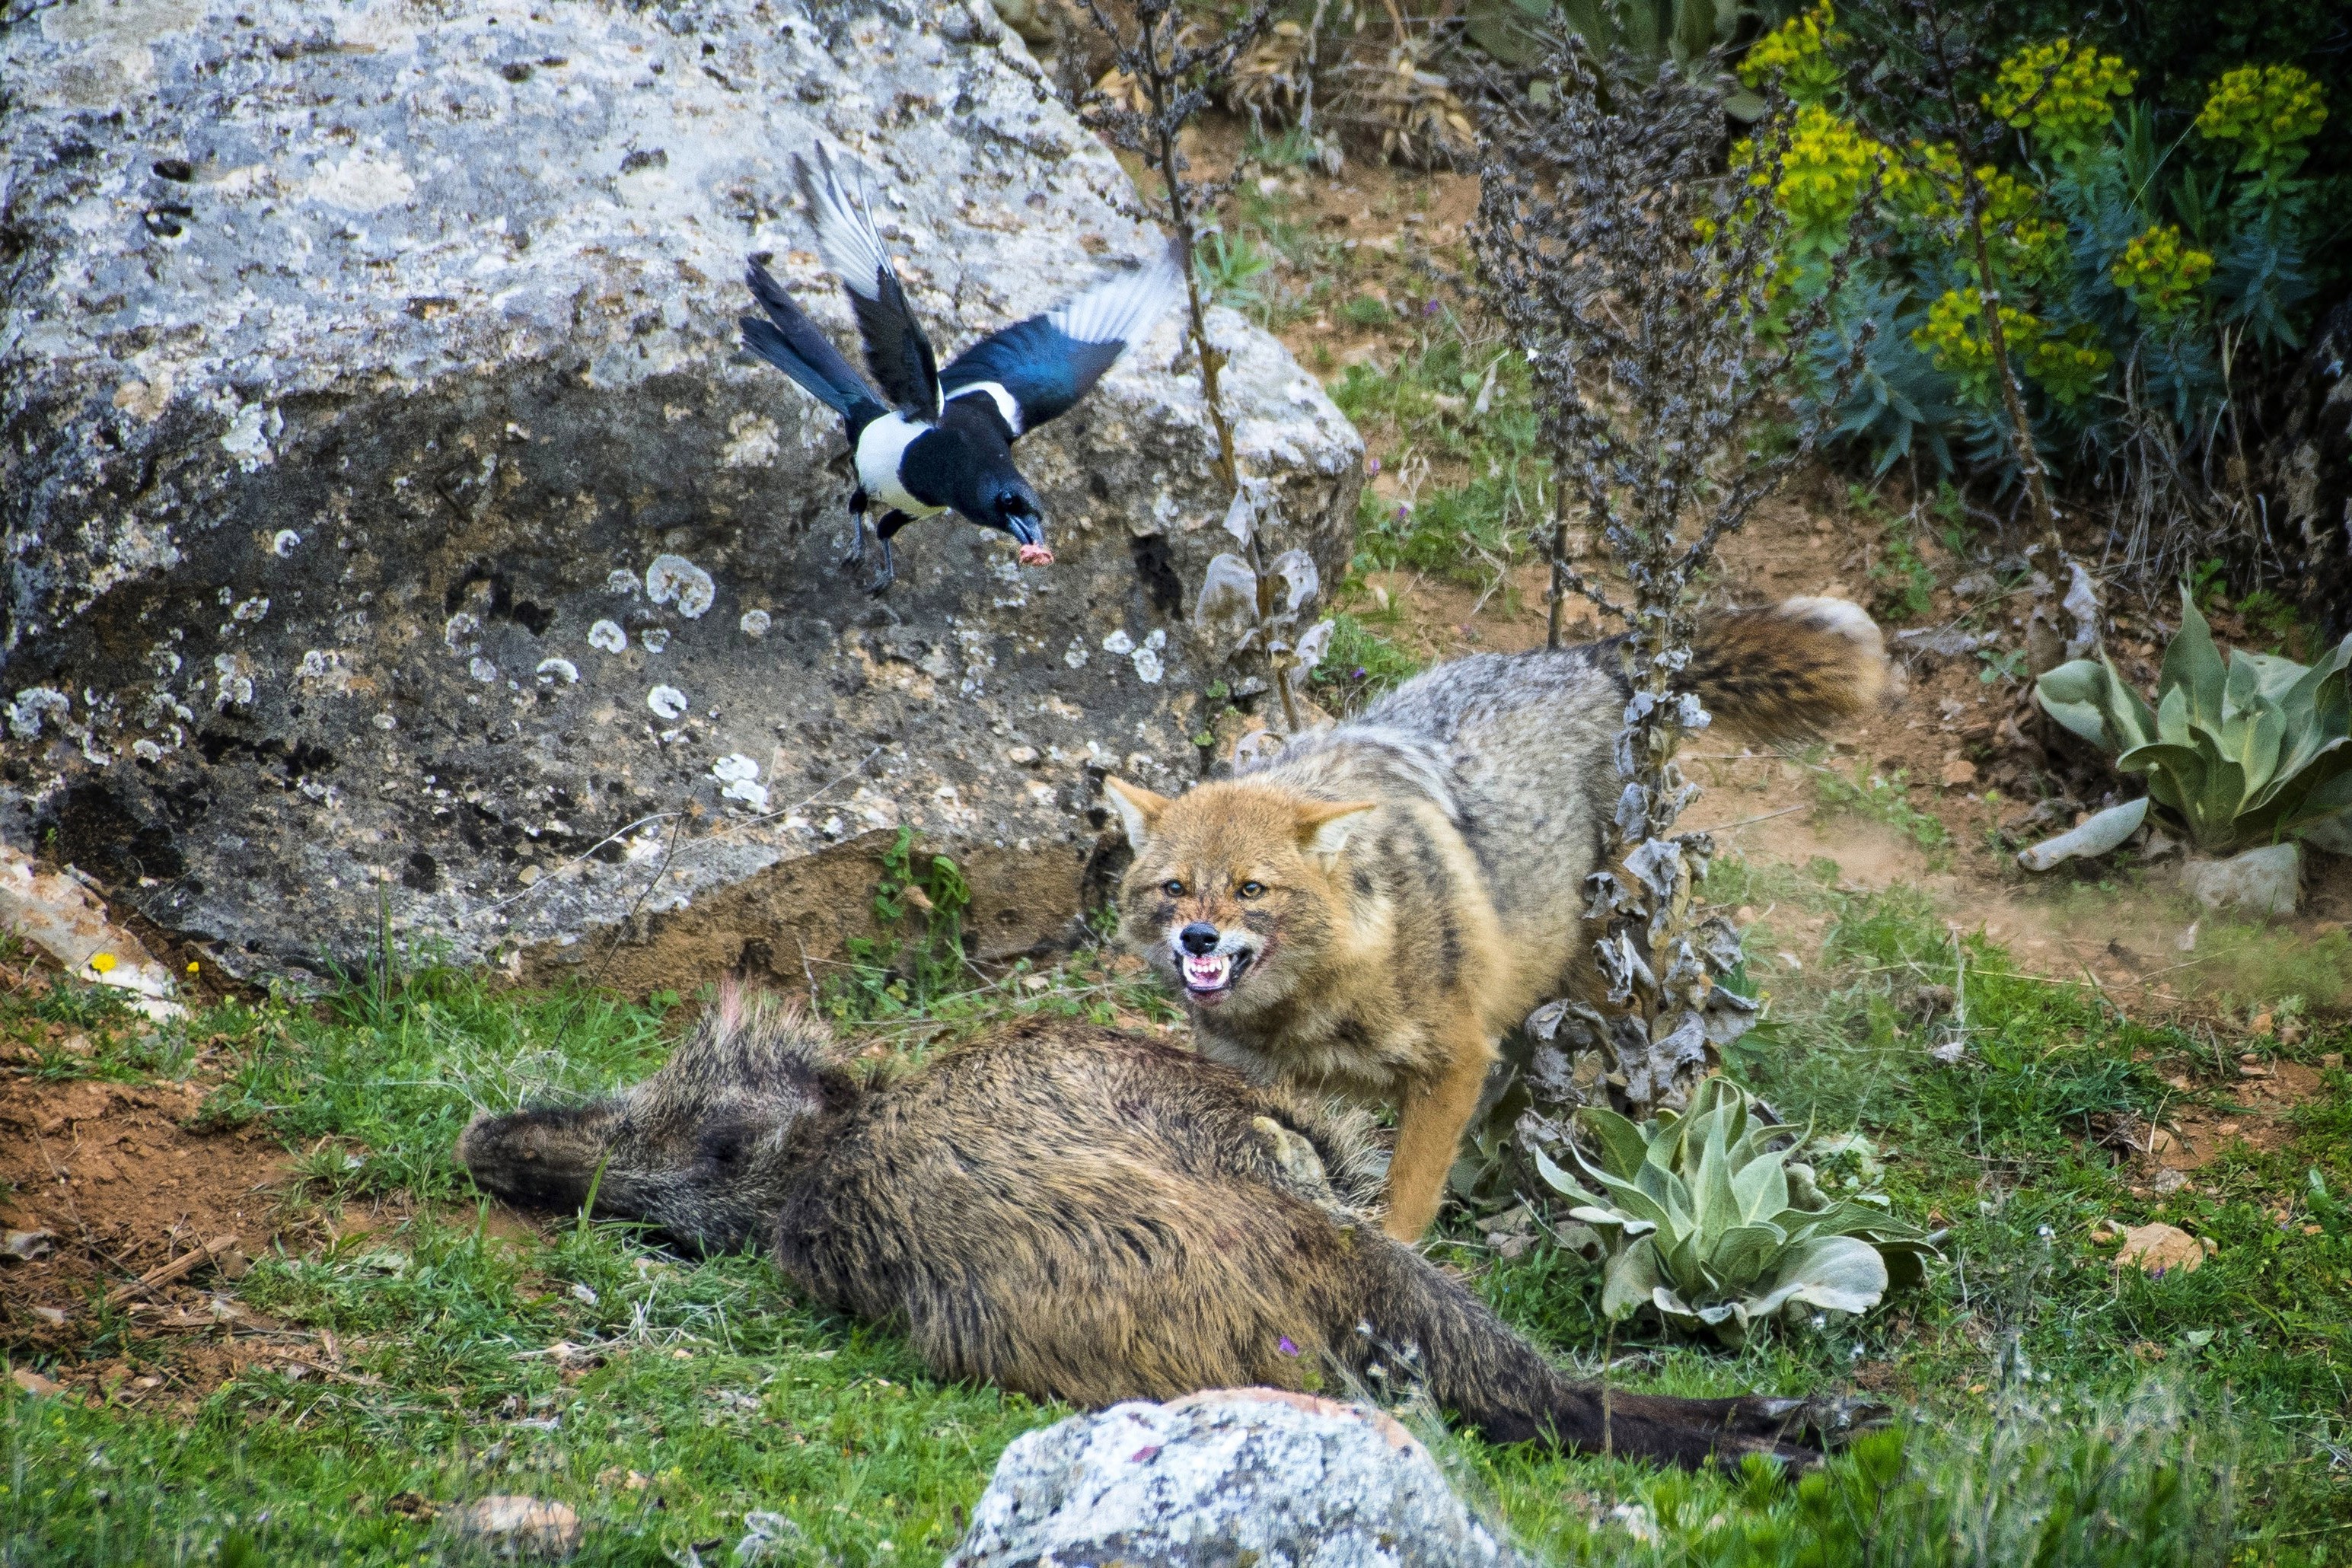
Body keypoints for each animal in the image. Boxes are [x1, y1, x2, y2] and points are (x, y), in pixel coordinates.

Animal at [1101, 594, 1891, 1241]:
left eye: (1251, 890)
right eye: (1175, 888)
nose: (1198, 937)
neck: (1318, 1002)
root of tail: (1582, 660)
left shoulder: (1453, 1065)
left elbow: (1405, 1203)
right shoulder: (1253, 1084)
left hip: (1616, 985)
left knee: (1689, 1066)